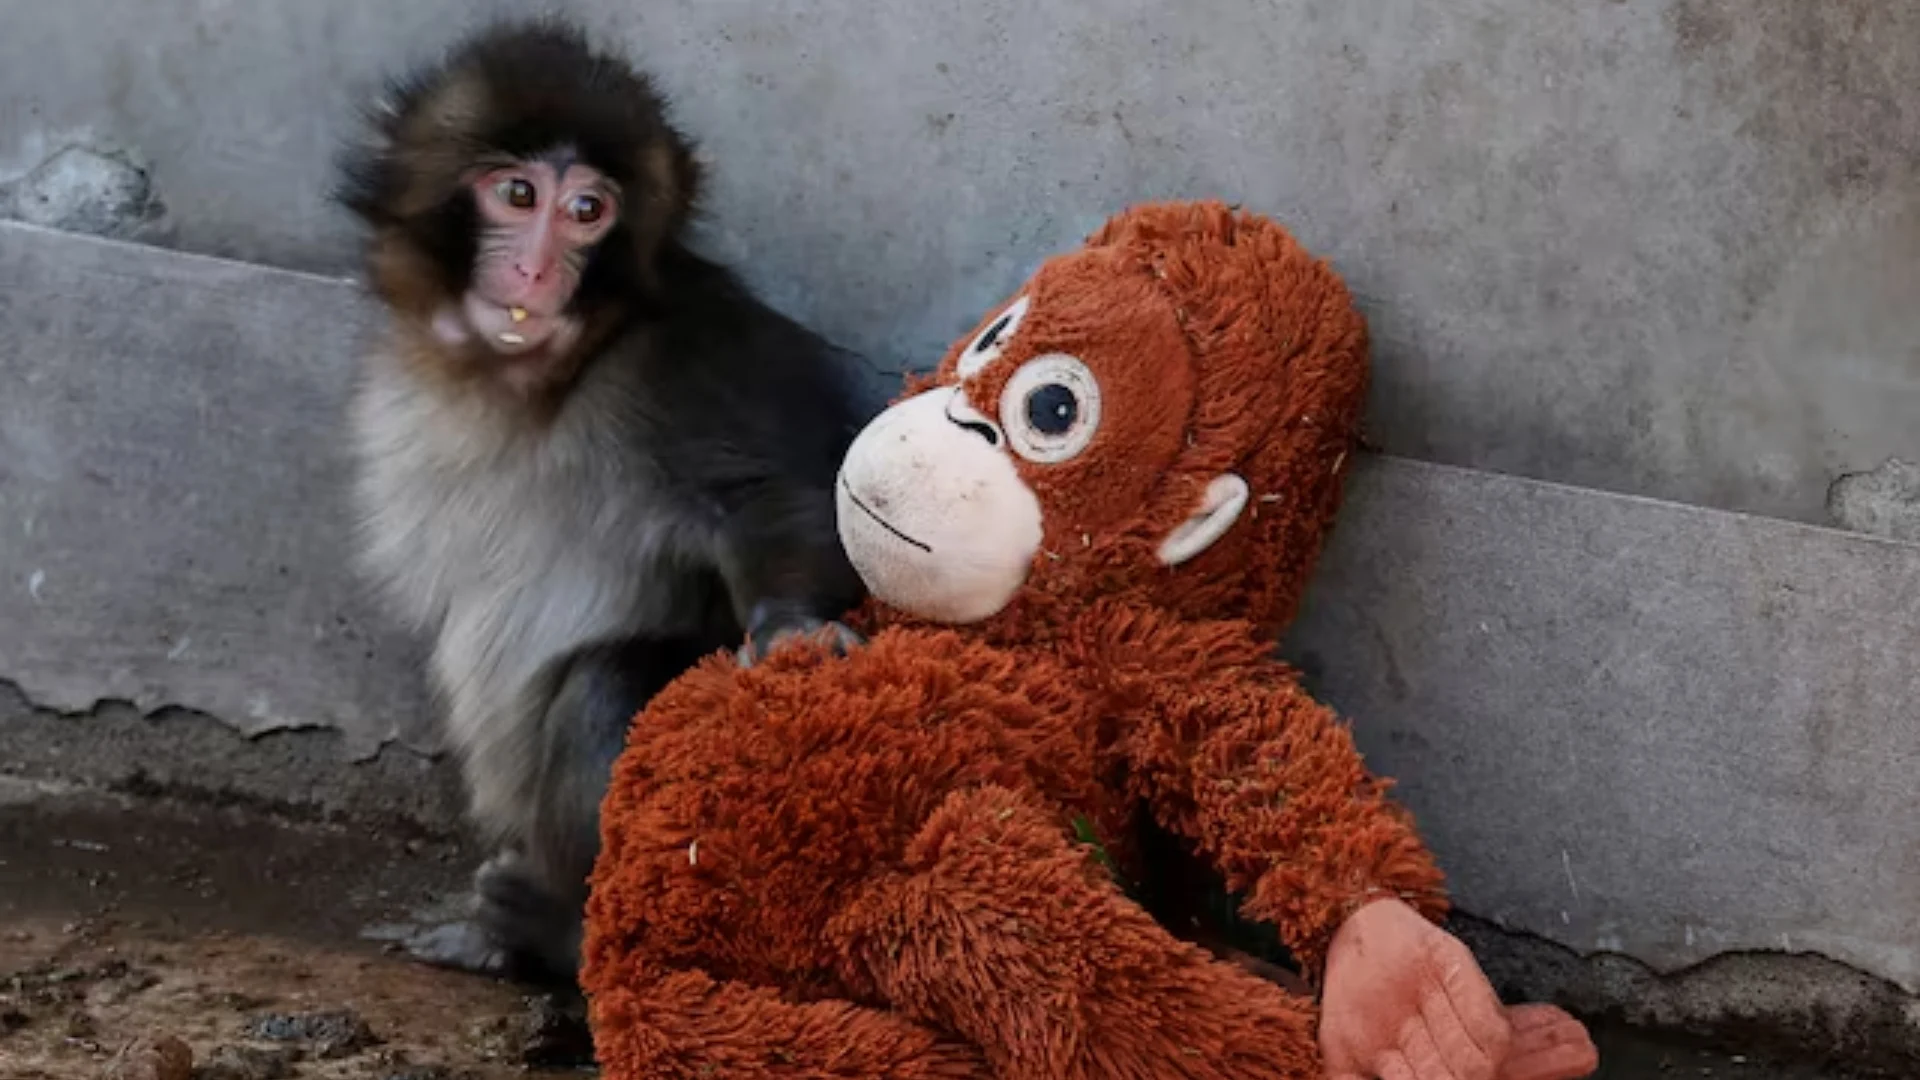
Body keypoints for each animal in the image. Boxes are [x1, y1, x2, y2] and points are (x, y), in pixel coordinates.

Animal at [334, 18, 873, 986]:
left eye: (589, 211)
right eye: (518, 194)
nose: (538, 267)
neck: (538, 380)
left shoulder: (684, 360)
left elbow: (774, 497)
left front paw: (792, 628)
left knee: (605, 688)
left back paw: (557, 934)